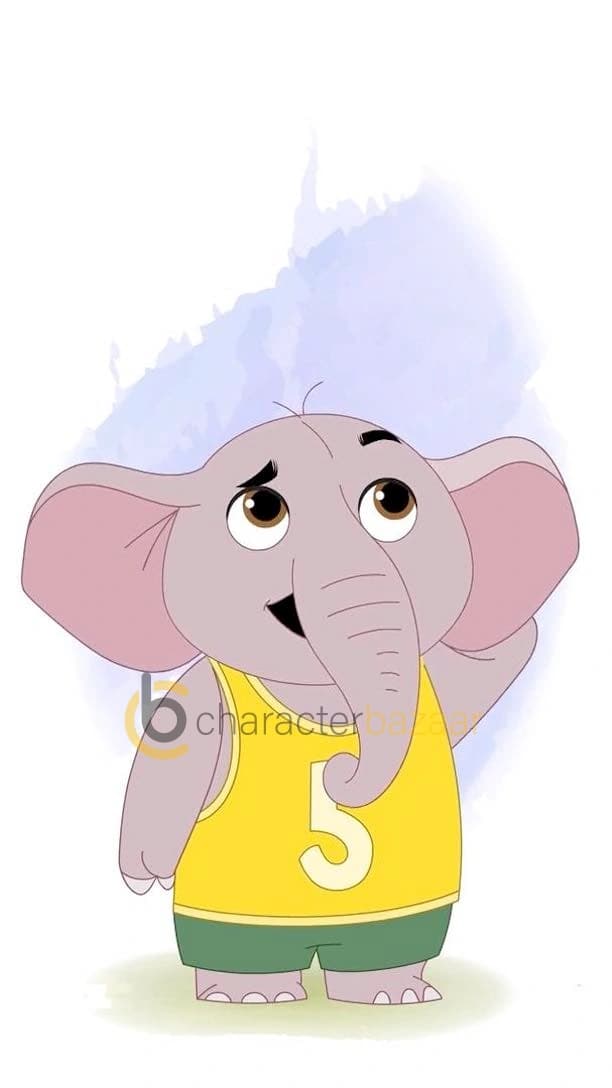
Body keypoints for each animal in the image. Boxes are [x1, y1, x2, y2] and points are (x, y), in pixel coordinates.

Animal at [21, 411, 578, 1005]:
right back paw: (249, 996)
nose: (339, 770)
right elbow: (170, 760)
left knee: (386, 948)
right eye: (261, 510)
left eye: (393, 499)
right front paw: (146, 872)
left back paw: (390, 994)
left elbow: (492, 659)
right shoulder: (204, 697)